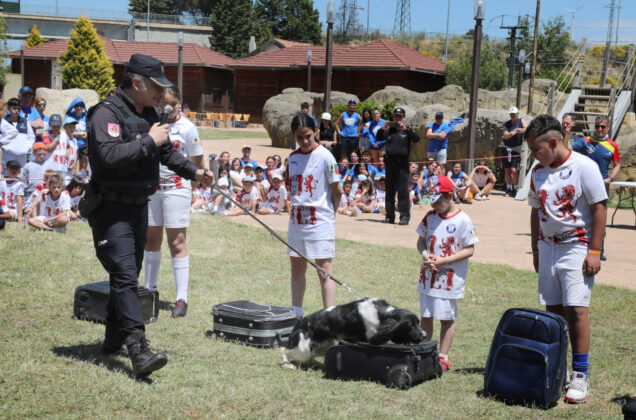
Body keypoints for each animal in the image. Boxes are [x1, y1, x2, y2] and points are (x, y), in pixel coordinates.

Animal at [282, 298, 422, 364]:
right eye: (410, 327)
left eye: (418, 323)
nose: (424, 335)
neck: (381, 313)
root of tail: (299, 323)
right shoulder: (369, 339)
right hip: (303, 349)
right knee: (284, 350)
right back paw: (287, 364)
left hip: (325, 344)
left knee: (311, 357)